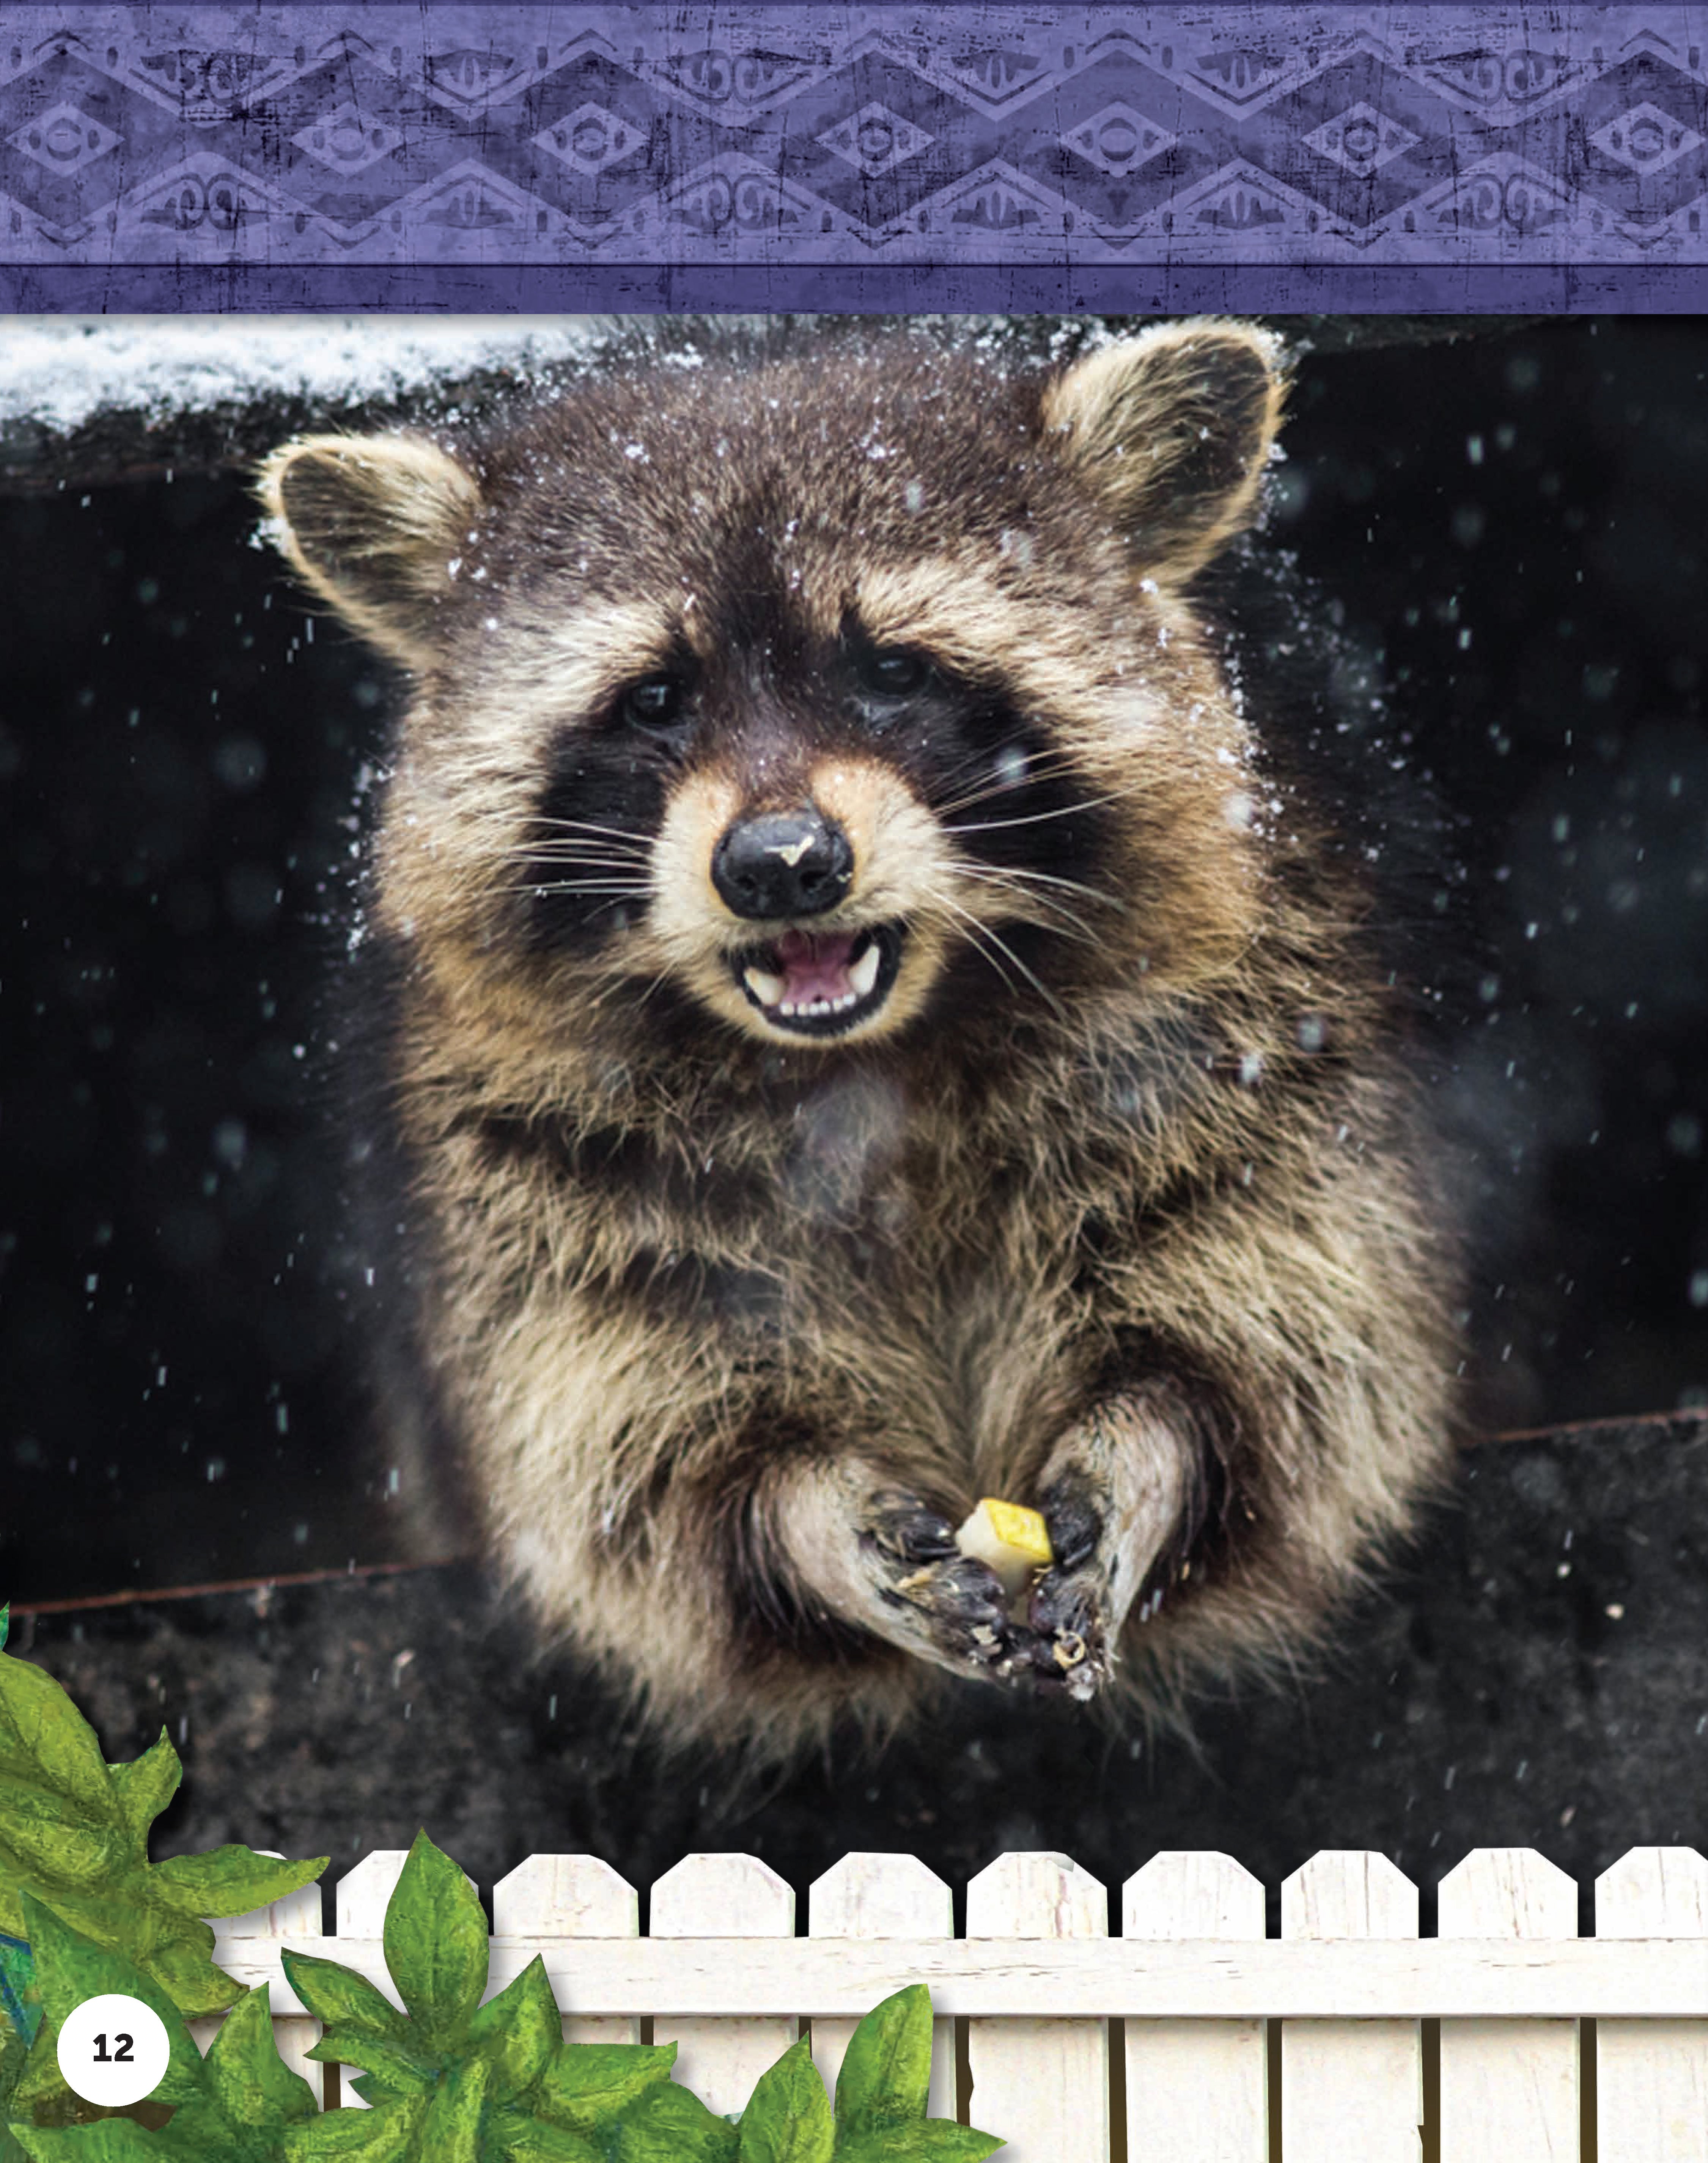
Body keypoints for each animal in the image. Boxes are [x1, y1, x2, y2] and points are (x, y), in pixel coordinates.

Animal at [260, 317, 1461, 1762]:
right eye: (654, 700)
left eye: (892, 670)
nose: (780, 865)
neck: (870, 1059)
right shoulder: (516, 1180)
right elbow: (631, 1483)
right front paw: (811, 1517)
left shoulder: (1258, 1041)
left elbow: (1292, 1366)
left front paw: (1147, 1450)